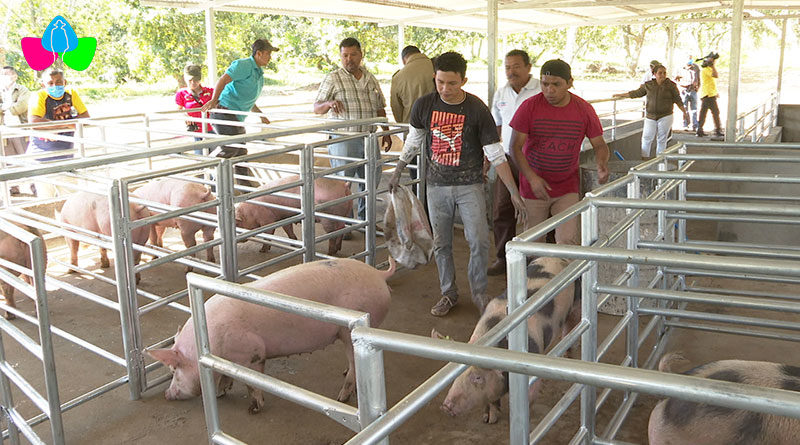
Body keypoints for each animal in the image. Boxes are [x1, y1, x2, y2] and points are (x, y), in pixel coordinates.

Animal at [148, 255, 396, 414]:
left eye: (173, 370)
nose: (167, 394)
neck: (209, 342)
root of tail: (379, 274)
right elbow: (226, 376)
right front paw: (220, 393)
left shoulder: (253, 352)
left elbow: (252, 382)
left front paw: (253, 409)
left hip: (349, 331)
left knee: (353, 367)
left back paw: (341, 397)